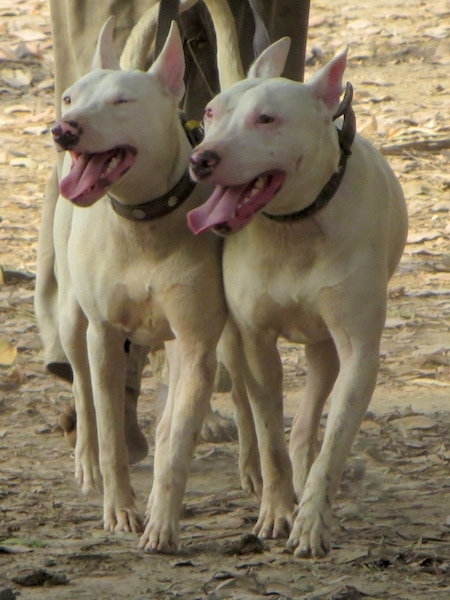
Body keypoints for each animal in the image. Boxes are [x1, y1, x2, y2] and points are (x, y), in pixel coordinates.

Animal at [188, 41, 410, 556]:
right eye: (210, 111)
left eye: (266, 118)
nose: (202, 157)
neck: (294, 226)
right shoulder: (256, 340)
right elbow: (269, 430)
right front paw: (276, 510)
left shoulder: (358, 351)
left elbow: (332, 441)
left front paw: (310, 520)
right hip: (233, 341)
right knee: (245, 404)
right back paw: (251, 470)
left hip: (324, 347)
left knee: (310, 418)